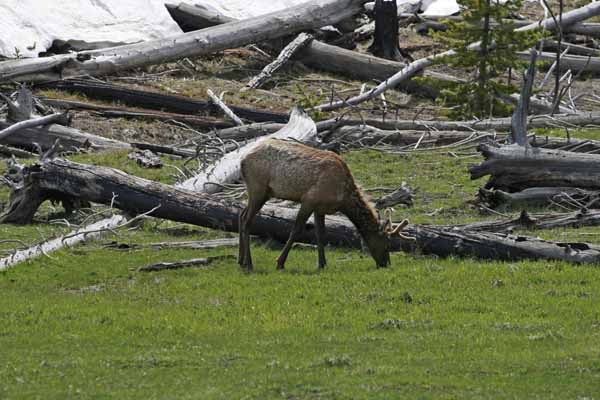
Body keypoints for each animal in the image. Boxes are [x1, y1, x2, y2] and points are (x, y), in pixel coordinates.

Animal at [237, 136, 414, 270]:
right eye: (386, 244)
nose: (385, 264)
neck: (343, 198)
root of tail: (242, 160)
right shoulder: (309, 199)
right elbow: (296, 230)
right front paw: (280, 262)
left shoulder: (320, 207)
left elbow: (321, 234)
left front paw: (322, 264)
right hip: (258, 188)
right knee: (247, 221)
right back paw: (249, 264)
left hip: (259, 192)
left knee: (241, 214)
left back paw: (240, 260)